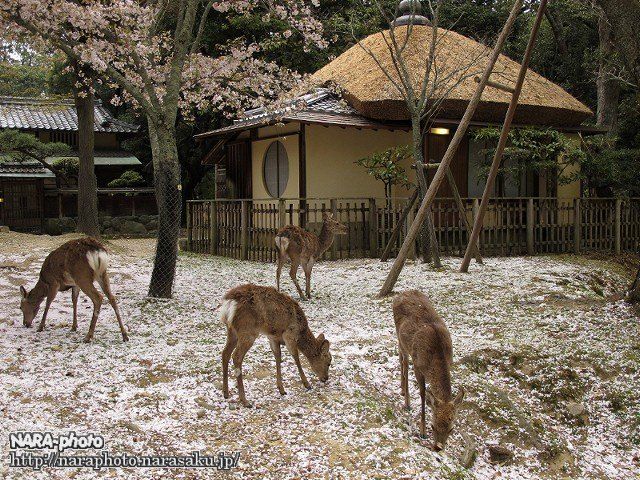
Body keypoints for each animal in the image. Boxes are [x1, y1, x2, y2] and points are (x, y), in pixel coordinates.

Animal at [390, 290, 464, 452]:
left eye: (451, 429)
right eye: (433, 426)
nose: (438, 447)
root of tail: (400, 293)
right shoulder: (418, 366)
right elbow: (423, 395)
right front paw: (422, 432)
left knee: (400, 356)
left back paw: (402, 389)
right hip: (401, 337)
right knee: (404, 361)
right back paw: (407, 401)